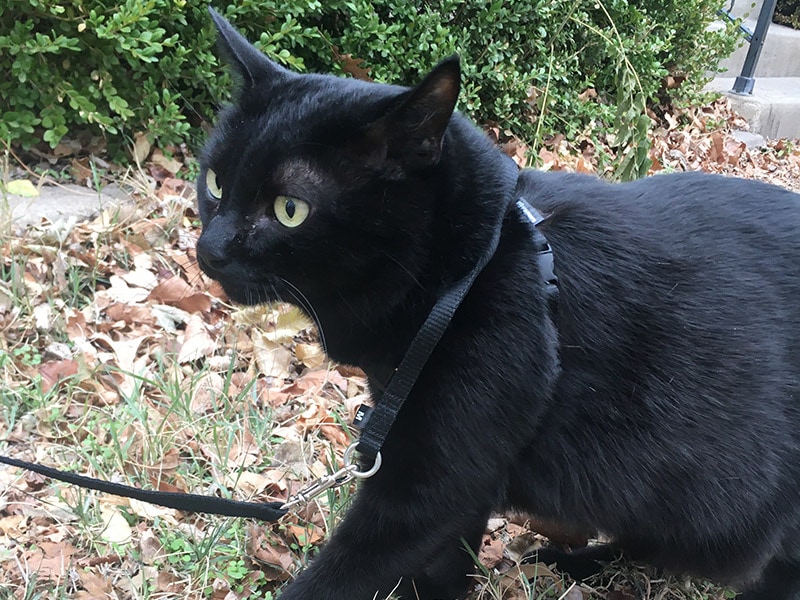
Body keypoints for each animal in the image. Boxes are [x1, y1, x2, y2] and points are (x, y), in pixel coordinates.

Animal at [197, 9, 800, 600]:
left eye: (290, 209)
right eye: (215, 182)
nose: (209, 249)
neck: (472, 270)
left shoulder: (429, 485)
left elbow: (347, 572)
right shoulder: (462, 468)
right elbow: (448, 561)